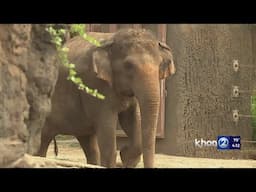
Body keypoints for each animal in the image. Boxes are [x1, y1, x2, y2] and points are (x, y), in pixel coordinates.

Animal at [37, 27, 174, 167]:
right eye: (128, 65)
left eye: (160, 64)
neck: (111, 39)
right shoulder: (94, 83)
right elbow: (107, 126)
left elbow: (131, 119)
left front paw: (126, 155)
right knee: (41, 143)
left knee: (89, 144)